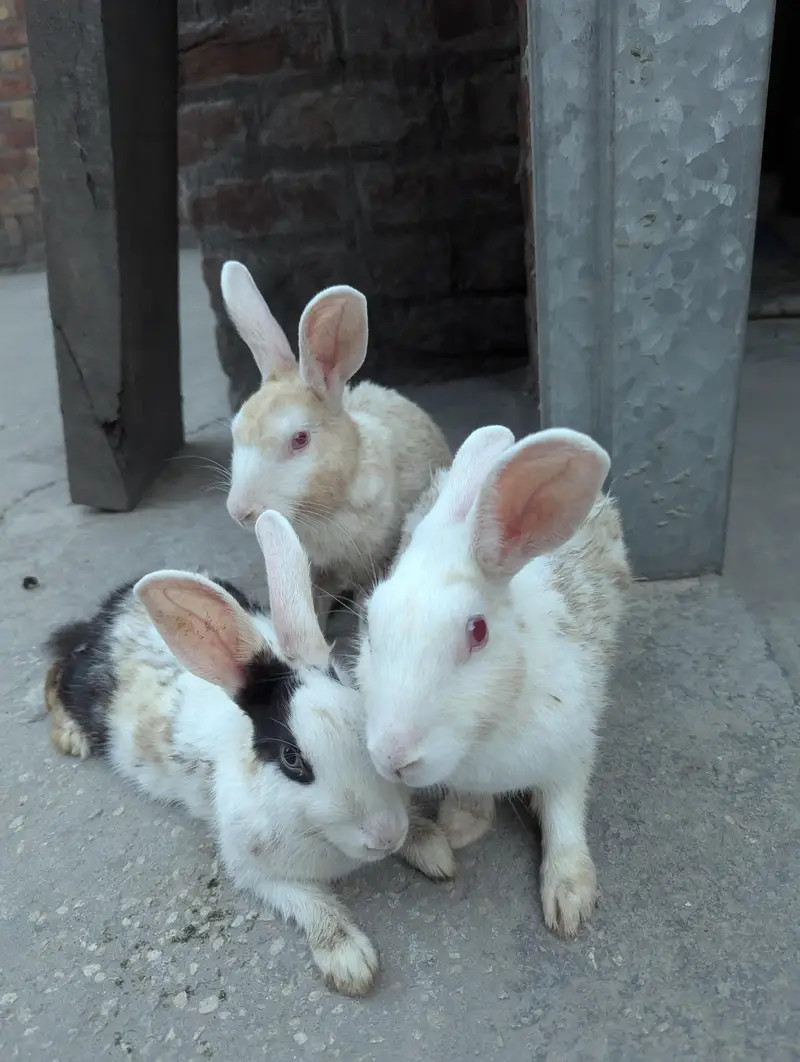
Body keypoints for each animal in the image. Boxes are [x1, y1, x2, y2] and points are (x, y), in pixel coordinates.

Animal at [43, 510, 455, 997]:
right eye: (292, 760)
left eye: (363, 711)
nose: (384, 837)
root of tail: (112, 610)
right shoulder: (254, 870)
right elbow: (312, 906)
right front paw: (351, 965)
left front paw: (435, 852)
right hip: (85, 687)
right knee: (56, 670)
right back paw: (71, 736)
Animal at [219, 261, 452, 623]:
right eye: (236, 429)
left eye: (299, 439)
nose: (240, 511)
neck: (324, 509)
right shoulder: (314, 568)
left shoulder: (374, 559)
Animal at [355, 424, 632, 938]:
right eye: (367, 620)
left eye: (478, 631)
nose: (393, 757)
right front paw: (461, 825)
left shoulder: (571, 747)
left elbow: (565, 814)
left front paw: (569, 901)